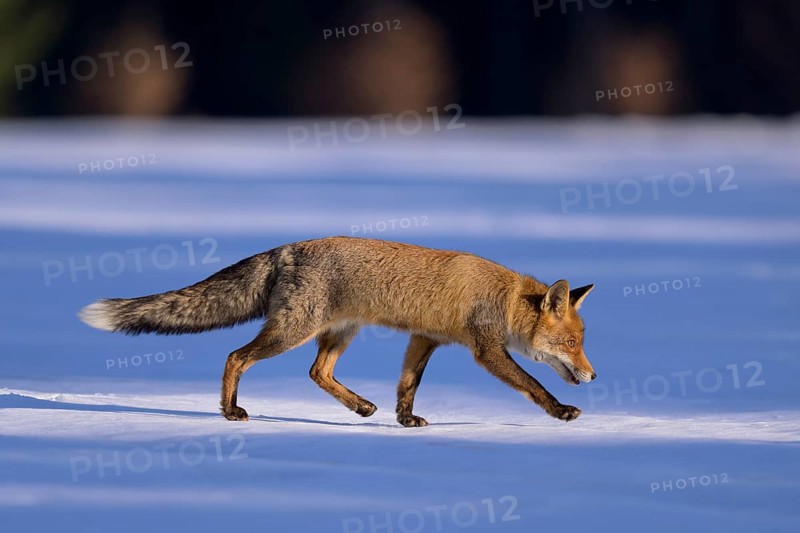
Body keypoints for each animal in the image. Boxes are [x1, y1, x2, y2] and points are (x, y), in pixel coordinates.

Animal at [79, 236, 596, 426]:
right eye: (572, 344)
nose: (593, 376)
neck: (505, 298)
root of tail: (284, 249)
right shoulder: (485, 350)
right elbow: (532, 384)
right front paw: (561, 411)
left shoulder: (424, 339)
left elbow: (408, 385)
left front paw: (405, 420)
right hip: (292, 331)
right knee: (235, 357)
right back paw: (229, 411)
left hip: (339, 334)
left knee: (317, 373)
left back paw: (361, 407)